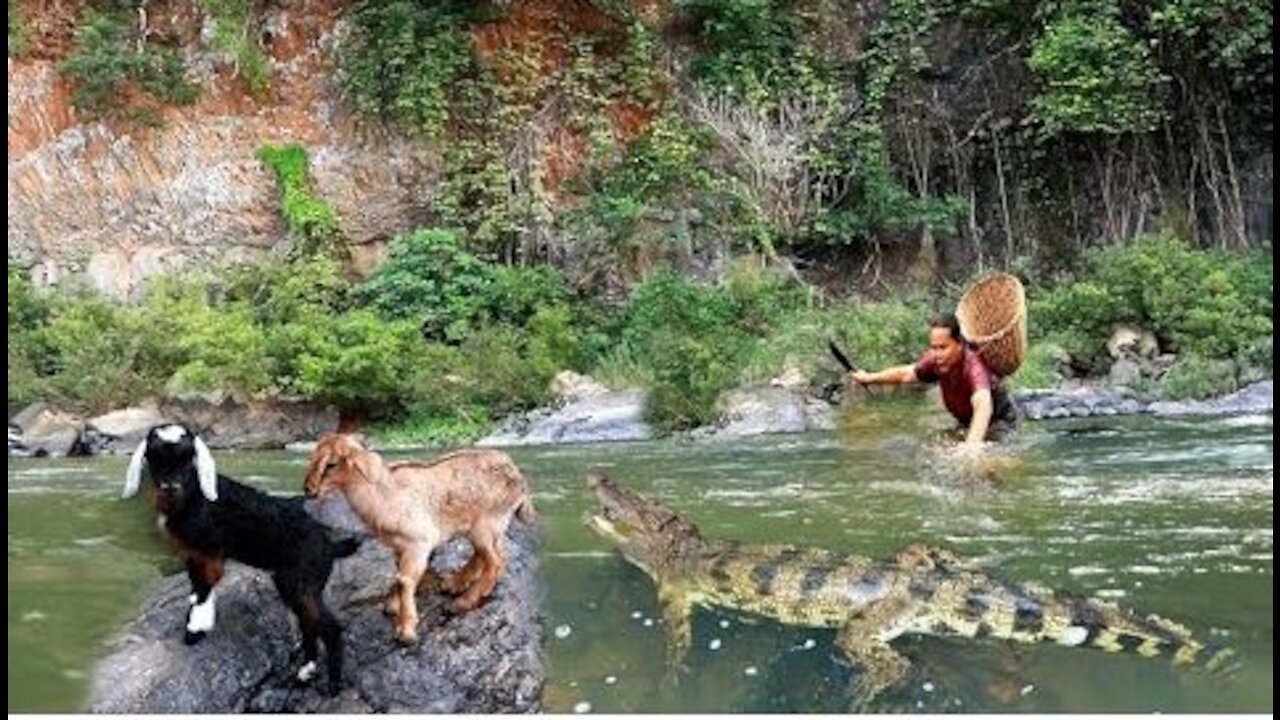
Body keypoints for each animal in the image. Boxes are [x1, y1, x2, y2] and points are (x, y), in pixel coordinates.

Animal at [123, 422, 360, 691]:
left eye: (188, 458)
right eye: (153, 457)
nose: (170, 487)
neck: (194, 497)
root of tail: (329, 545)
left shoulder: (210, 551)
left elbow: (203, 590)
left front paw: (195, 631)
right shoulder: (192, 554)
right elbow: (196, 590)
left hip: (302, 581)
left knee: (330, 628)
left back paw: (333, 685)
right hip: (295, 584)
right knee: (309, 623)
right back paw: (304, 673)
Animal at [304, 435, 535, 640]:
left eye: (331, 464)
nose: (308, 490)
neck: (383, 496)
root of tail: (519, 478)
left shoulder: (419, 543)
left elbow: (405, 579)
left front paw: (406, 630)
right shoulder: (399, 547)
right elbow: (399, 574)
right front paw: (392, 606)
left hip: (485, 524)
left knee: (494, 561)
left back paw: (462, 602)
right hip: (489, 526)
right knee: (492, 556)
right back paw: (455, 583)